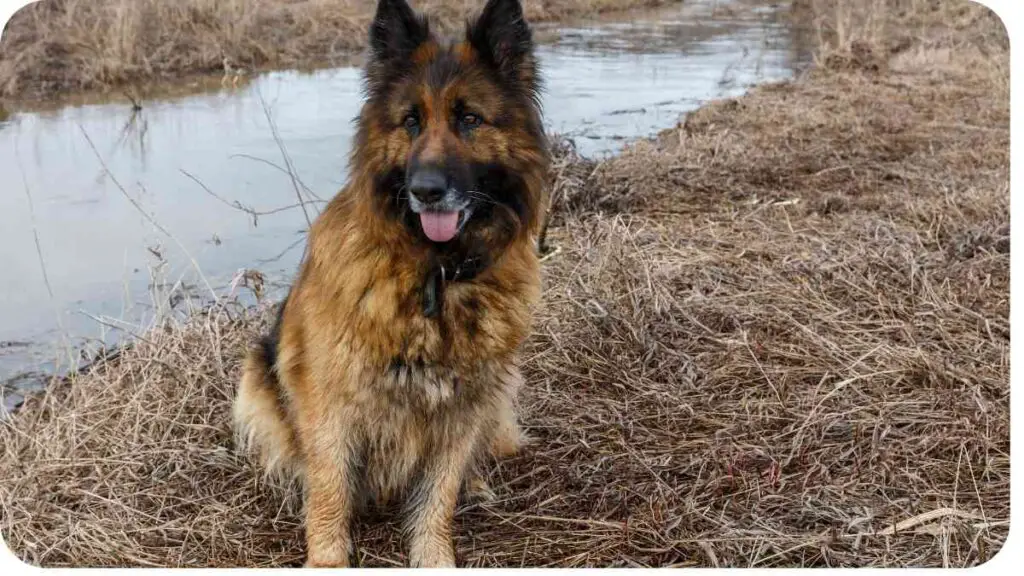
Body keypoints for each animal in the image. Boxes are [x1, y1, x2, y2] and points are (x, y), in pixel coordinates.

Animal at [232, 0, 548, 565]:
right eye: (410, 122)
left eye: (470, 119)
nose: (426, 190)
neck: (435, 272)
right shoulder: (330, 404)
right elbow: (330, 491)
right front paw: (327, 559)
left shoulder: (465, 407)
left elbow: (439, 494)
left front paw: (435, 556)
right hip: (255, 378)